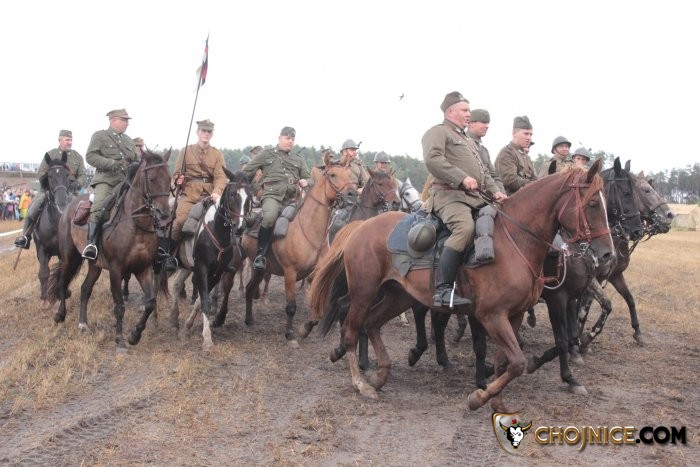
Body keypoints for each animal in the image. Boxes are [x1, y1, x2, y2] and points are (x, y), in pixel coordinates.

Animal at [33, 152, 73, 308]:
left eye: (66, 175)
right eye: (50, 176)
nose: (61, 202)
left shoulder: (64, 251)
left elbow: (63, 270)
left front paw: (64, 293)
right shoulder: (42, 249)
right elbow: (44, 272)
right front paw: (45, 300)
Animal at [47, 150, 172, 350]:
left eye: (169, 179)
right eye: (152, 179)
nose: (165, 214)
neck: (135, 224)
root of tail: (68, 206)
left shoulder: (143, 268)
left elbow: (150, 302)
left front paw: (135, 335)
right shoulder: (116, 270)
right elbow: (119, 305)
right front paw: (120, 339)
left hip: (95, 265)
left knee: (85, 289)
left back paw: (83, 323)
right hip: (69, 257)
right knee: (62, 282)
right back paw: (60, 315)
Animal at [239, 158, 357, 346]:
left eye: (348, 174)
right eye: (332, 174)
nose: (352, 194)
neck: (309, 229)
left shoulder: (316, 274)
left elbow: (317, 308)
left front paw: (305, 329)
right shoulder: (290, 273)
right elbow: (291, 307)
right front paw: (290, 334)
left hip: (261, 270)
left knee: (250, 289)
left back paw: (249, 319)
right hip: (257, 264)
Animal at [309, 162, 614, 412]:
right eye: (593, 204)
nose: (607, 254)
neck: (514, 240)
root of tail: (361, 227)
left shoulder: (513, 315)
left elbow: (506, 362)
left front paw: (497, 403)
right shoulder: (492, 316)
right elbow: (516, 362)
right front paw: (478, 397)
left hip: (398, 296)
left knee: (372, 324)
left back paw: (380, 375)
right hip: (364, 293)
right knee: (351, 329)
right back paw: (361, 383)